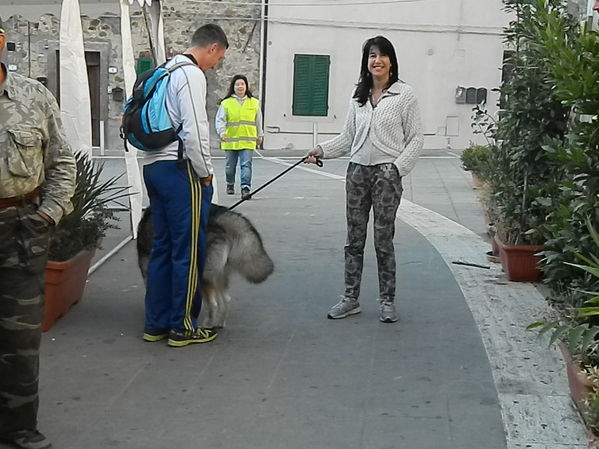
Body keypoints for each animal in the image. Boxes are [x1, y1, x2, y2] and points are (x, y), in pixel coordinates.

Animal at [137, 205, 274, 328]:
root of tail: (219, 219)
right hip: (219, 274)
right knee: (226, 300)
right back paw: (219, 323)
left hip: (203, 275)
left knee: (213, 304)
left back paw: (207, 324)